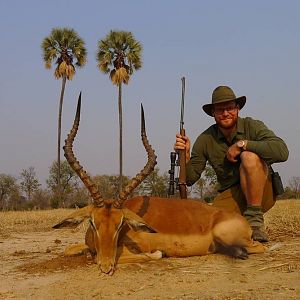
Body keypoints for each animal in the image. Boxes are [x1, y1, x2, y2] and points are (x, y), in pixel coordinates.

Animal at [54, 94, 264, 274]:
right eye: (92, 222)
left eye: (120, 223)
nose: (106, 266)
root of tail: (242, 221)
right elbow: (69, 250)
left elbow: (150, 255)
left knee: (260, 247)